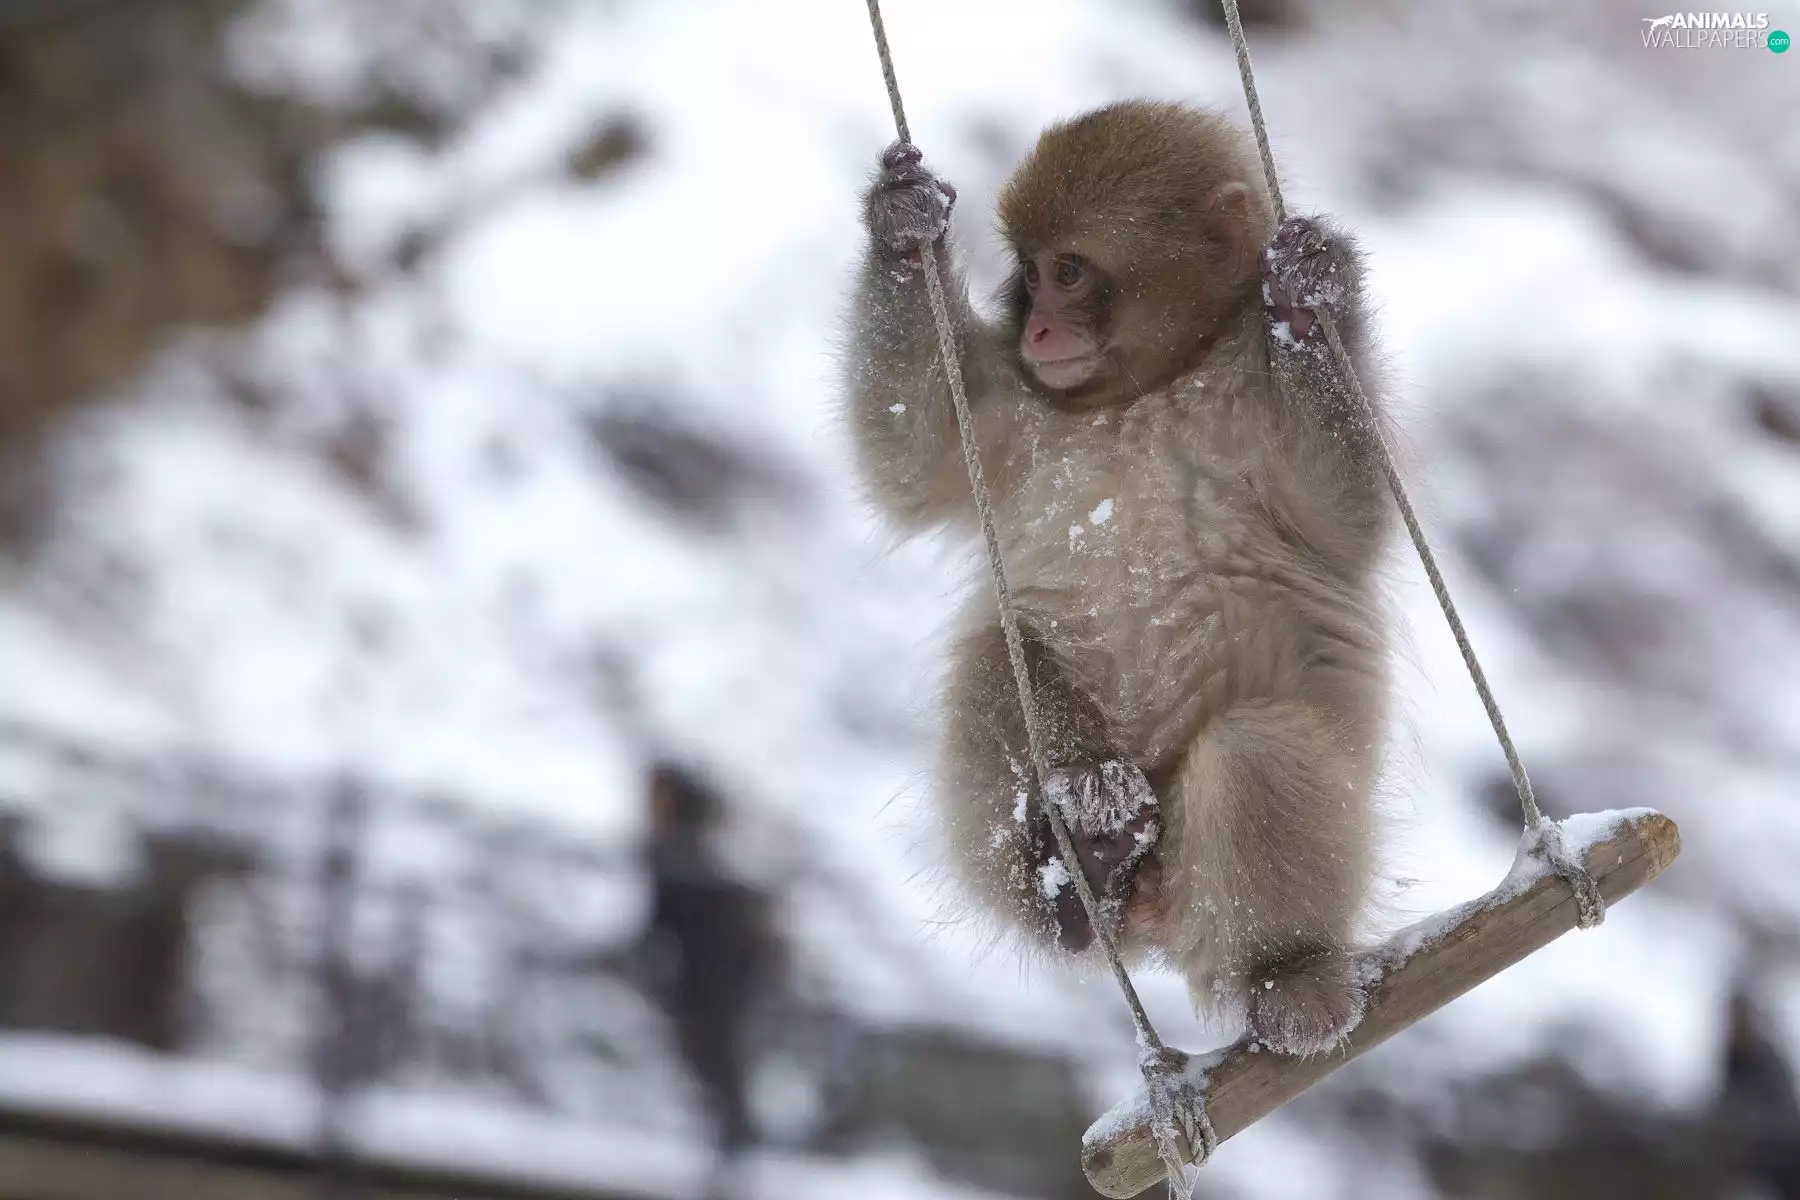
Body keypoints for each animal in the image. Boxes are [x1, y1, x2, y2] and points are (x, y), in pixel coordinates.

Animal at [843, 101, 1393, 1056]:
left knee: (1253, 752)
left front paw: (1305, 297)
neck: (1150, 388)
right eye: (1029, 274)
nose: (1039, 329)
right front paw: (903, 224)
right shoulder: (1022, 412)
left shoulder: (1258, 411)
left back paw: (1288, 973)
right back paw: (1082, 863)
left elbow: (1346, 520)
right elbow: (915, 454)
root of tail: (1156, 918)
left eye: (1069, 272)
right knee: (1001, 654)